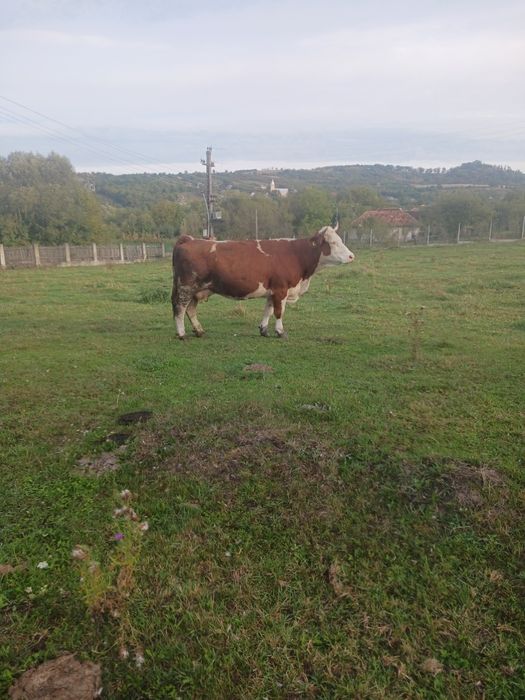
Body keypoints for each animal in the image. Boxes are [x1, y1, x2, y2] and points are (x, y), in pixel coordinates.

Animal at [171, 224, 355, 339]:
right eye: (333, 242)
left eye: (341, 240)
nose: (352, 256)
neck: (297, 255)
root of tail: (190, 239)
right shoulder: (281, 290)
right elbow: (279, 312)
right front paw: (280, 332)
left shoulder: (272, 291)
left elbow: (268, 310)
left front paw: (264, 330)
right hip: (186, 287)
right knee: (180, 308)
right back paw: (181, 333)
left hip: (196, 290)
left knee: (191, 309)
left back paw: (199, 331)